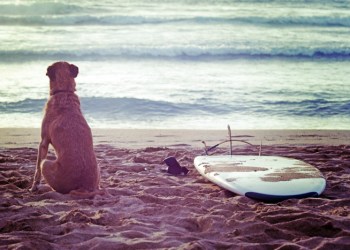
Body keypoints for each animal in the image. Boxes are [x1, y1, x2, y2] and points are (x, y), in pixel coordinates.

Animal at [29, 61, 100, 195]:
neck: (64, 91)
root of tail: (83, 185)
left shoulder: (43, 142)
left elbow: (36, 169)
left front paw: (34, 186)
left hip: (46, 164)